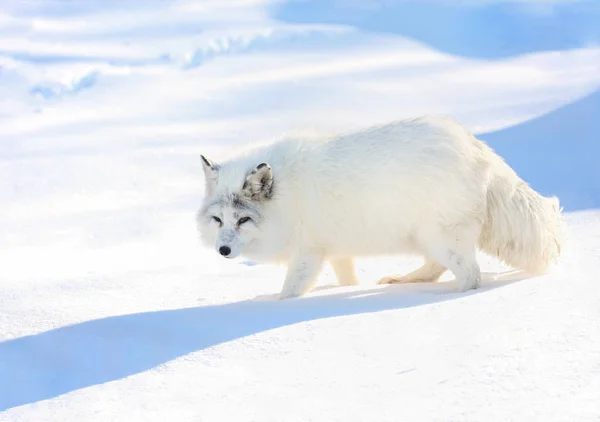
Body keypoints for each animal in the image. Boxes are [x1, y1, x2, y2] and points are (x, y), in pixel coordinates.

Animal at [197, 116, 568, 300]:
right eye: (218, 220)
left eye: (243, 219)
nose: (223, 250)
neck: (286, 197)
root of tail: (479, 149)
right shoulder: (335, 250)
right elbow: (346, 277)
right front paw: (346, 290)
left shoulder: (308, 252)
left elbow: (290, 292)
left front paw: (278, 307)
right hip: (430, 239)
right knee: (436, 268)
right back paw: (402, 281)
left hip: (440, 237)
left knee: (471, 277)